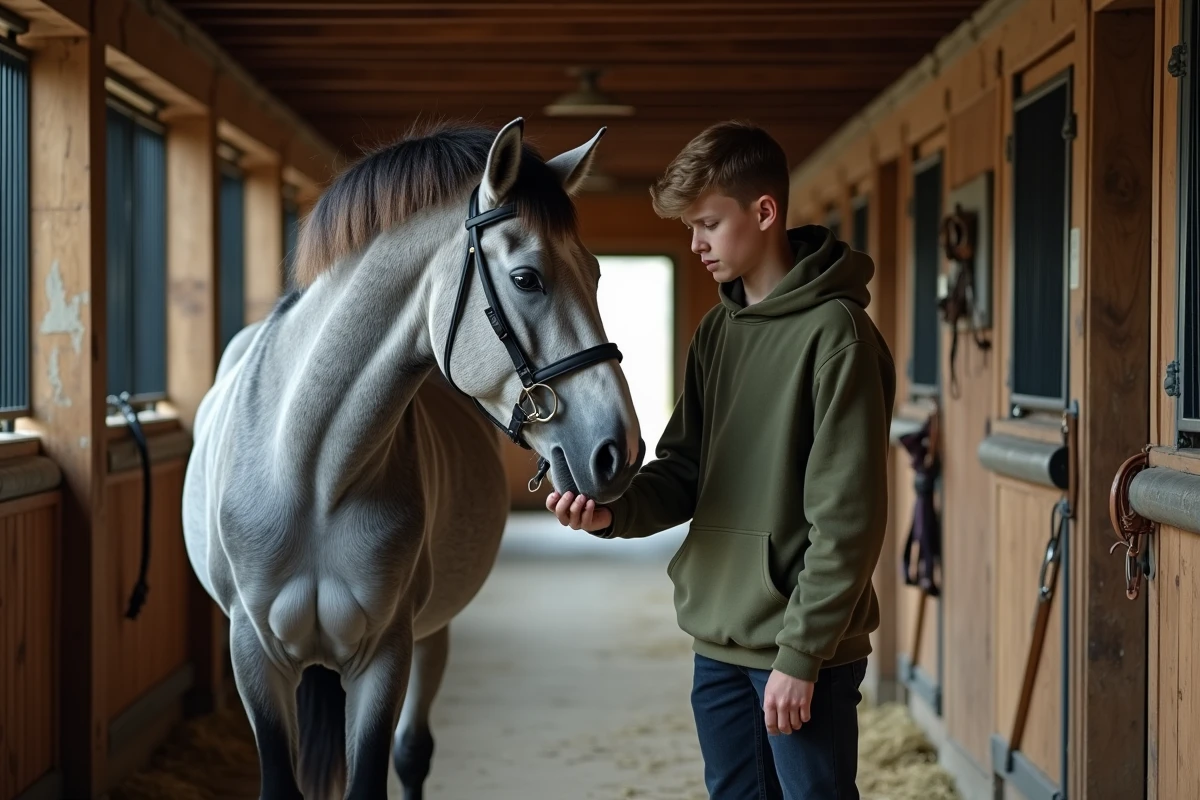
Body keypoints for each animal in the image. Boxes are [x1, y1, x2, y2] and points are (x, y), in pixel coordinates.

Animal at [182, 117, 645, 800]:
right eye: (527, 278)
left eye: (595, 274)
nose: (620, 450)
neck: (311, 472)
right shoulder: (254, 656)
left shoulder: (387, 653)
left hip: (432, 635)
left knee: (413, 753)